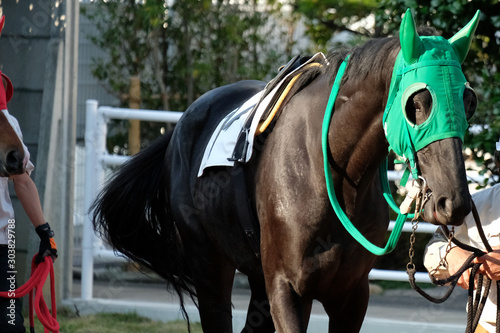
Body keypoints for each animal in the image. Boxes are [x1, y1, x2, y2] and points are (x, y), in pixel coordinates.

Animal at [92, 10, 478, 332]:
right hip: (210, 266)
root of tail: (181, 126)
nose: (453, 201)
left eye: (468, 100)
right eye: (417, 103)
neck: (332, 176)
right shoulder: (287, 289)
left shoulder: (351, 294)